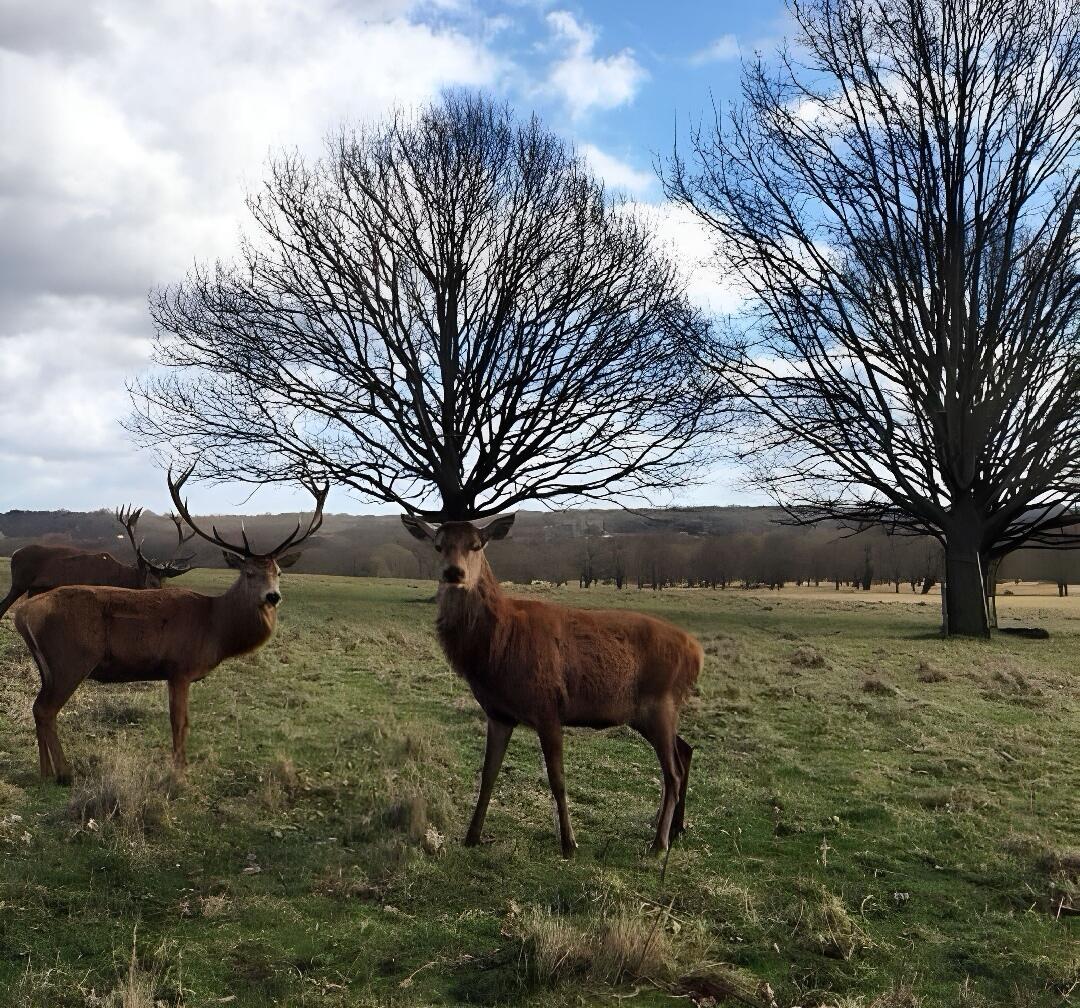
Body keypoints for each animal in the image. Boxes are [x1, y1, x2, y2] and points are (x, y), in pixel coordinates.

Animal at [1, 507, 194, 617]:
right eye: (151, 582)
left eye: (163, 581)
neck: (119, 578)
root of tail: (15, 553)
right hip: (19, 582)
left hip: (35, 588)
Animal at [401, 514, 704, 855]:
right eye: (438, 545)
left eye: (476, 544)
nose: (454, 572)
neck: (498, 646)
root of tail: (698, 654)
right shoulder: (498, 713)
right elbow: (488, 774)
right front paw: (472, 836)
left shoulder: (547, 705)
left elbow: (557, 778)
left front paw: (569, 843)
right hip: (650, 714)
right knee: (685, 752)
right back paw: (675, 828)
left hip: (661, 703)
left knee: (673, 772)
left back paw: (658, 844)